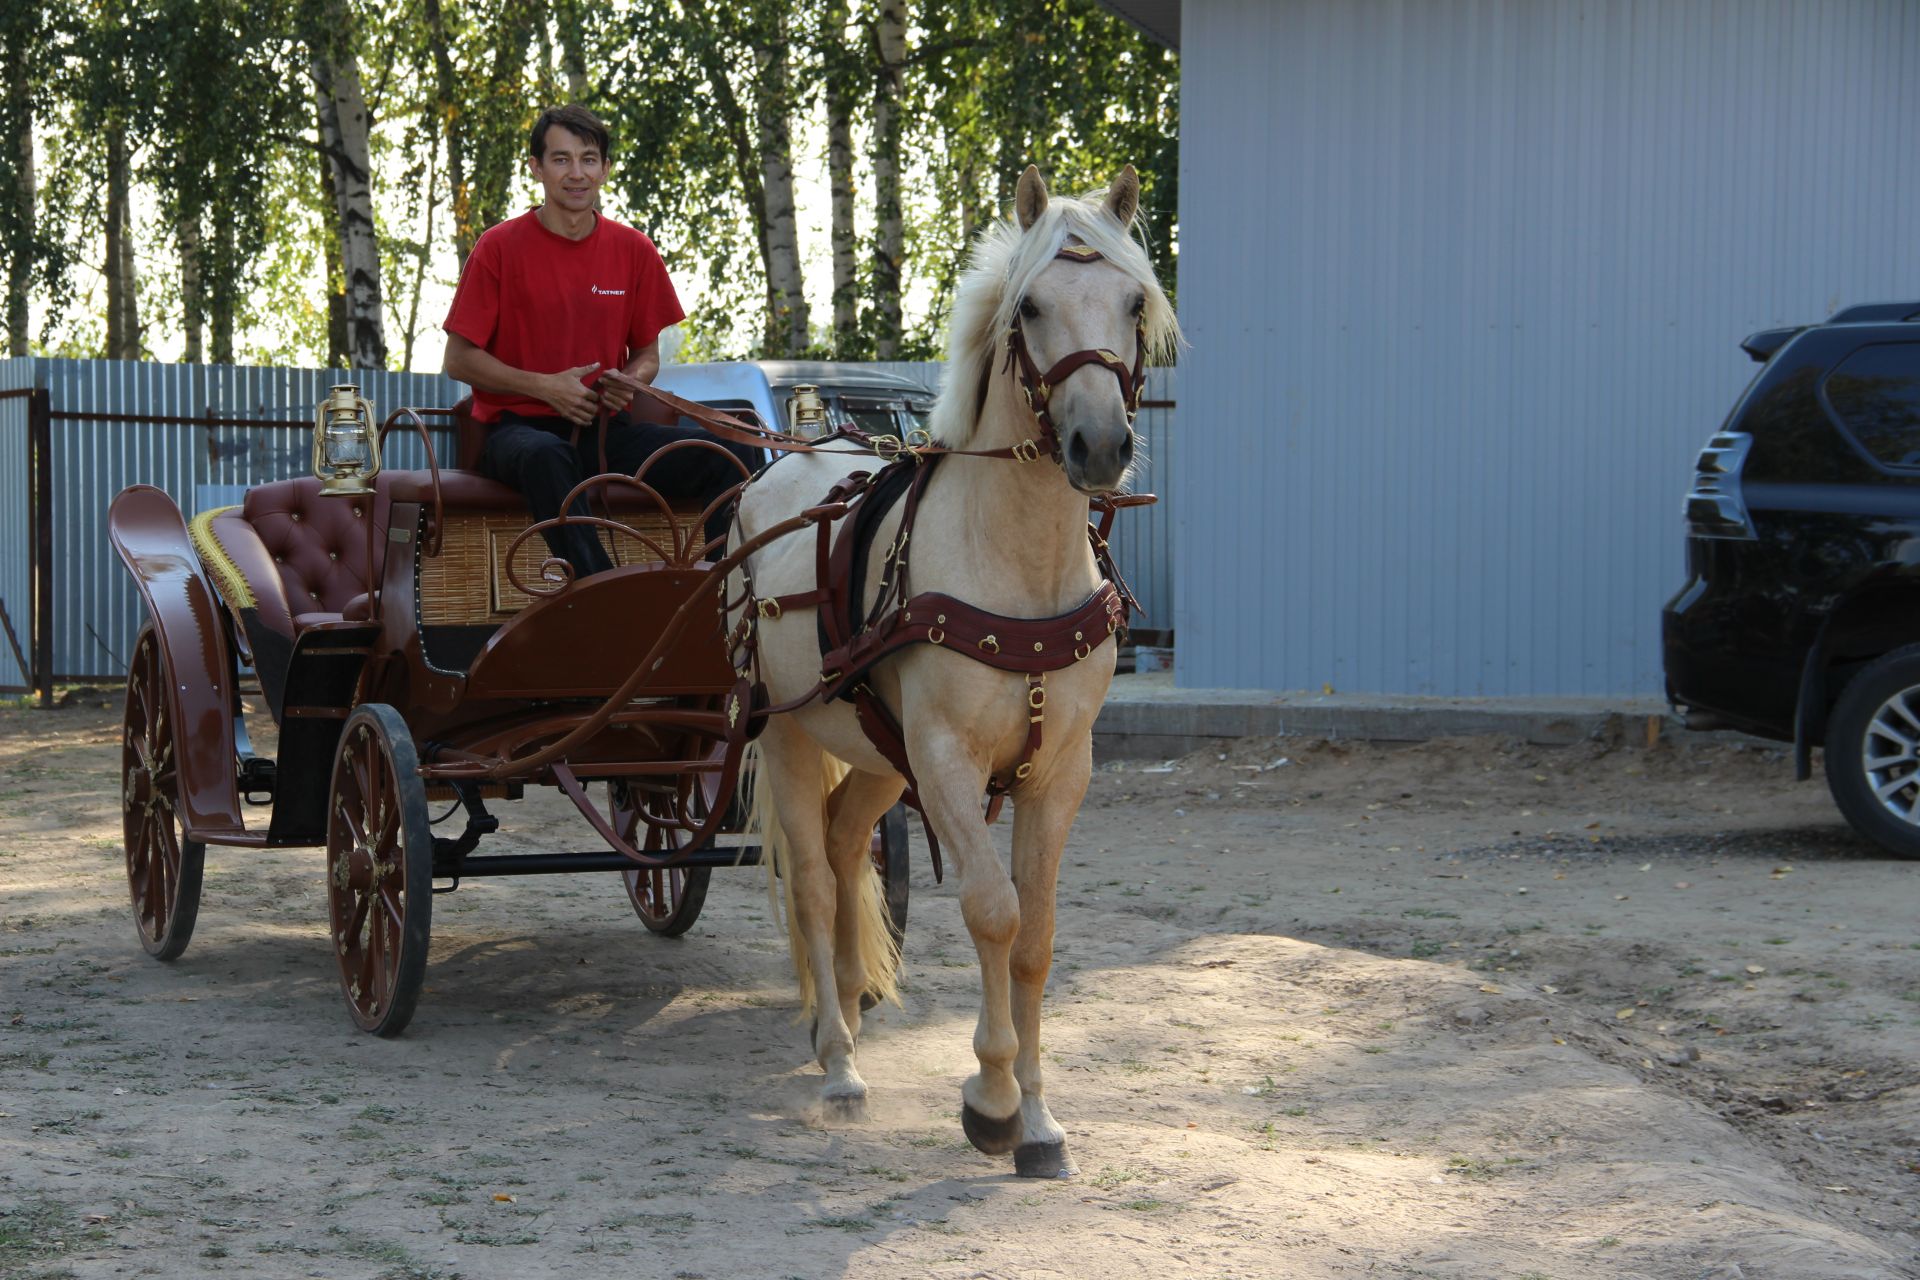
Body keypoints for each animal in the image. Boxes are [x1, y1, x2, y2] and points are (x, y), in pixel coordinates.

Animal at [725, 165, 1175, 1174]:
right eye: (1032, 307)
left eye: (1133, 302)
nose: (1100, 445)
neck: (1017, 564)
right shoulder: (945, 762)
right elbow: (993, 912)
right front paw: (993, 1100)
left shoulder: (1060, 771)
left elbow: (1037, 935)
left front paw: (1040, 1120)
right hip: (791, 731)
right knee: (814, 876)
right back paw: (839, 1063)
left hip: (876, 754)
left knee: (845, 843)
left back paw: (848, 1013)